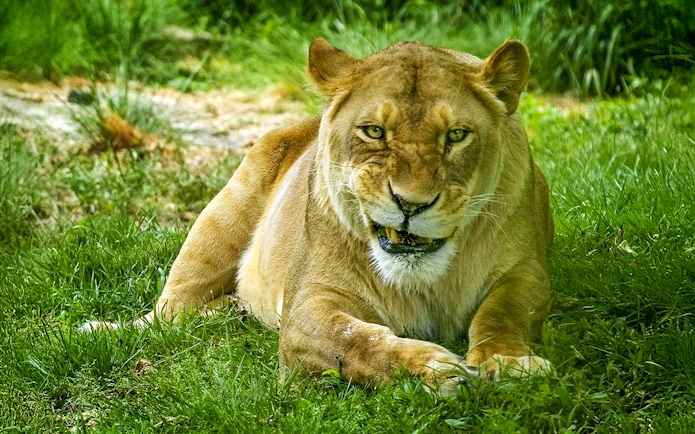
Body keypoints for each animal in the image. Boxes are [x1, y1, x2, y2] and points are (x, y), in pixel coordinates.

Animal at [81, 38, 554, 393]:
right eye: (374, 131)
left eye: (456, 135)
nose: (411, 204)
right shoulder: (306, 305)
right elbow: (356, 340)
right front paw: (433, 369)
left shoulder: (526, 269)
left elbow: (502, 313)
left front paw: (509, 362)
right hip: (219, 219)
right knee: (167, 315)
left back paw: (231, 312)